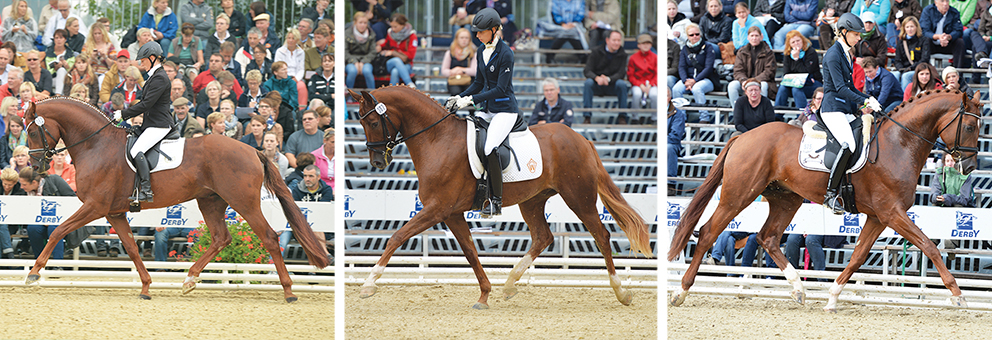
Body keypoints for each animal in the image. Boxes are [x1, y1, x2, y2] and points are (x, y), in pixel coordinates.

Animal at [19, 98, 330, 302]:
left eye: (33, 131)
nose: (36, 167)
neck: (96, 145)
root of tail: (252, 150)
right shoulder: (114, 212)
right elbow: (131, 248)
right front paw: (146, 287)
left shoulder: (95, 206)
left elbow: (58, 230)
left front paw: (33, 274)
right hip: (211, 201)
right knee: (221, 238)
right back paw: (189, 279)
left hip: (244, 202)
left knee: (268, 237)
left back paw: (289, 291)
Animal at [344, 87, 656, 308]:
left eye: (373, 121)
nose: (377, 161)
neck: (437, 139)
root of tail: (581, 139)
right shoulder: (452, 213)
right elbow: (470, 251)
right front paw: (484, 295)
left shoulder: (436, 209)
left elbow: (397, 236)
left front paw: (369, 284)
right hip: (533, 201)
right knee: (543, 237)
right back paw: (509, 284)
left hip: (579, 198)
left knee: (601, 235)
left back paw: (621, 292)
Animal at [672, 89, 980, 310]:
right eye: (968, 127)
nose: (970, 167)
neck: (899, 143)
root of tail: (743, 136)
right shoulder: (891, 212)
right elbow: (929, 246)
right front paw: (958, 295)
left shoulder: (878, 217)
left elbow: (857, 257)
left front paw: (832, 297)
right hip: (738, 194)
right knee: (708, 232)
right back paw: (680, 291)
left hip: (786, 199)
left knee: (767, 237)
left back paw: (798, 289)